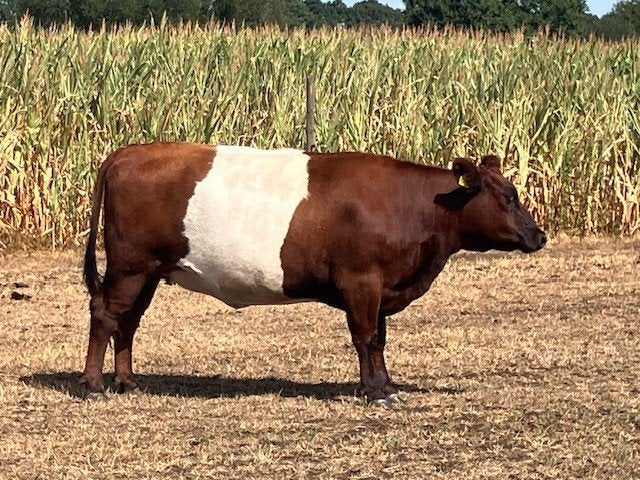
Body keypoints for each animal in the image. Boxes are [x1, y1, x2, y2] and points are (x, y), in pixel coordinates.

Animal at [80, 143, 547, 408]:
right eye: (509, 197)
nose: (539, 235)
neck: (414, 206)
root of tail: (127, 151)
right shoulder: (361, 281)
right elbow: (366, 338)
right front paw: (375, 393)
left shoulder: (380, 288)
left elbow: (380, 340)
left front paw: (387, 386)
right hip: (130, 265)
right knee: (105, 313)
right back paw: (94, 384)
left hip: (149, 271)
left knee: (128, 321)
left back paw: (128, 381)